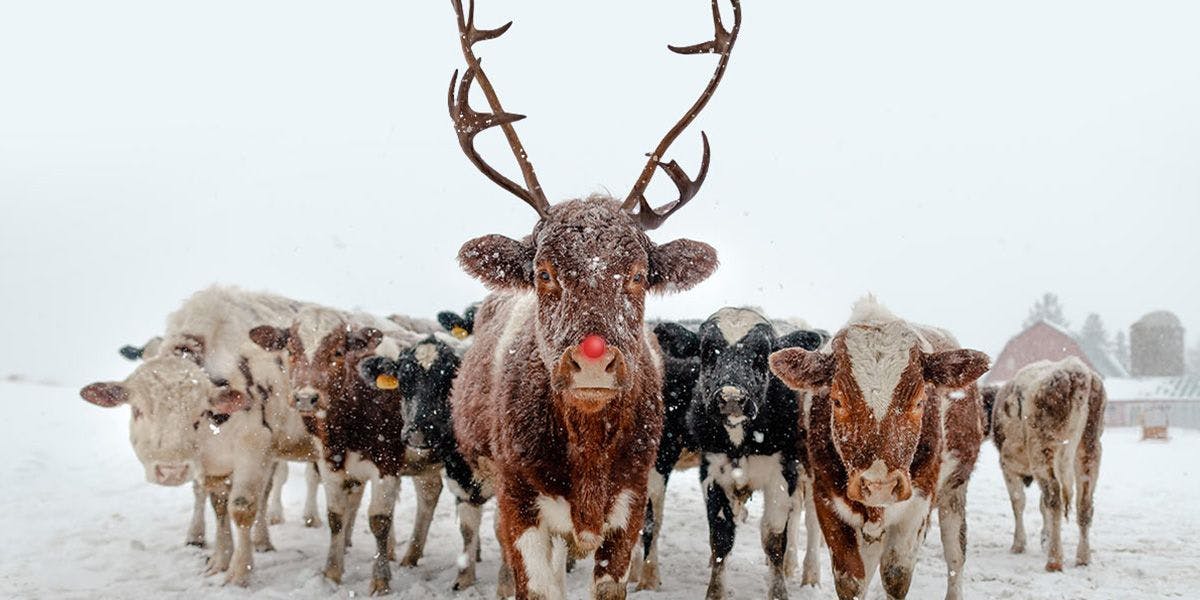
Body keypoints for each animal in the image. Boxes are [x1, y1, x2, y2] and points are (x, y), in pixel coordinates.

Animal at [82, 285, 321, 585]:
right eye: (138, 410)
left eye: (201, 412)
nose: (171, 471)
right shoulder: (213, 463)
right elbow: (218, 506)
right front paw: (218, 560)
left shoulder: (254, 448)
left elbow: (241, 507)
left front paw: (239, 572)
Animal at [444, 0, 734, 595]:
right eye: (543, 272)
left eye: (639, 275)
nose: (594, 360)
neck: (590, 455)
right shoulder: (519, 500)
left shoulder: (631, 500)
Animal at [686, 309, 825, 600]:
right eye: (707, 352)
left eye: (763, 355)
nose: (731, 397)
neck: (741, 443)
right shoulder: (712, 474)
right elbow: (721, 538)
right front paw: (715, 591)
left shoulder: (781, 477)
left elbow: (773, 538)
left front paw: (779, 590)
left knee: (809, 519)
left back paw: (809, 574)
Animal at [772, 298, 988, 600]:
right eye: (837, 401)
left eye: (919, 401)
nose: (880, 486)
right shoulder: (827, 500)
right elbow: (851, 580)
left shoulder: (917, 505)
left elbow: (896, 574)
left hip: (954, 490)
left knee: (956, 554)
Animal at [988, 355, 1099, 571]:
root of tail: (1073, 369)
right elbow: (1041, 506)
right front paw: (1044, 539)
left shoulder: (1007, 466)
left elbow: (1018, 502)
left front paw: (1019, 544)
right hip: (1089, 449)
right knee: (1084, 504)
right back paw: (1083, 558)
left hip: (1042, 450)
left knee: (1054, 499)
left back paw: (1054, 561)